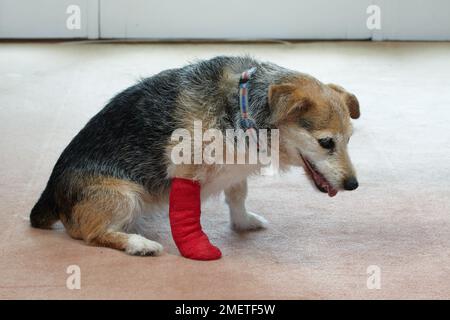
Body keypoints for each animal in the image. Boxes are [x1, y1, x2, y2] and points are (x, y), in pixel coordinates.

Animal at [29, 57, 360, 258]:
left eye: (349, 139)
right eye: (326, 142)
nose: (353, 185)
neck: (242, 108)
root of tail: (50, 197)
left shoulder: (236, 169)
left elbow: (238, 196)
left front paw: (243, 222)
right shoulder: (185, 170)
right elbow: (186, 214)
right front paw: (197, 248)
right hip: (125, 194)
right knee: (89, 233)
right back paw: (139, 243)